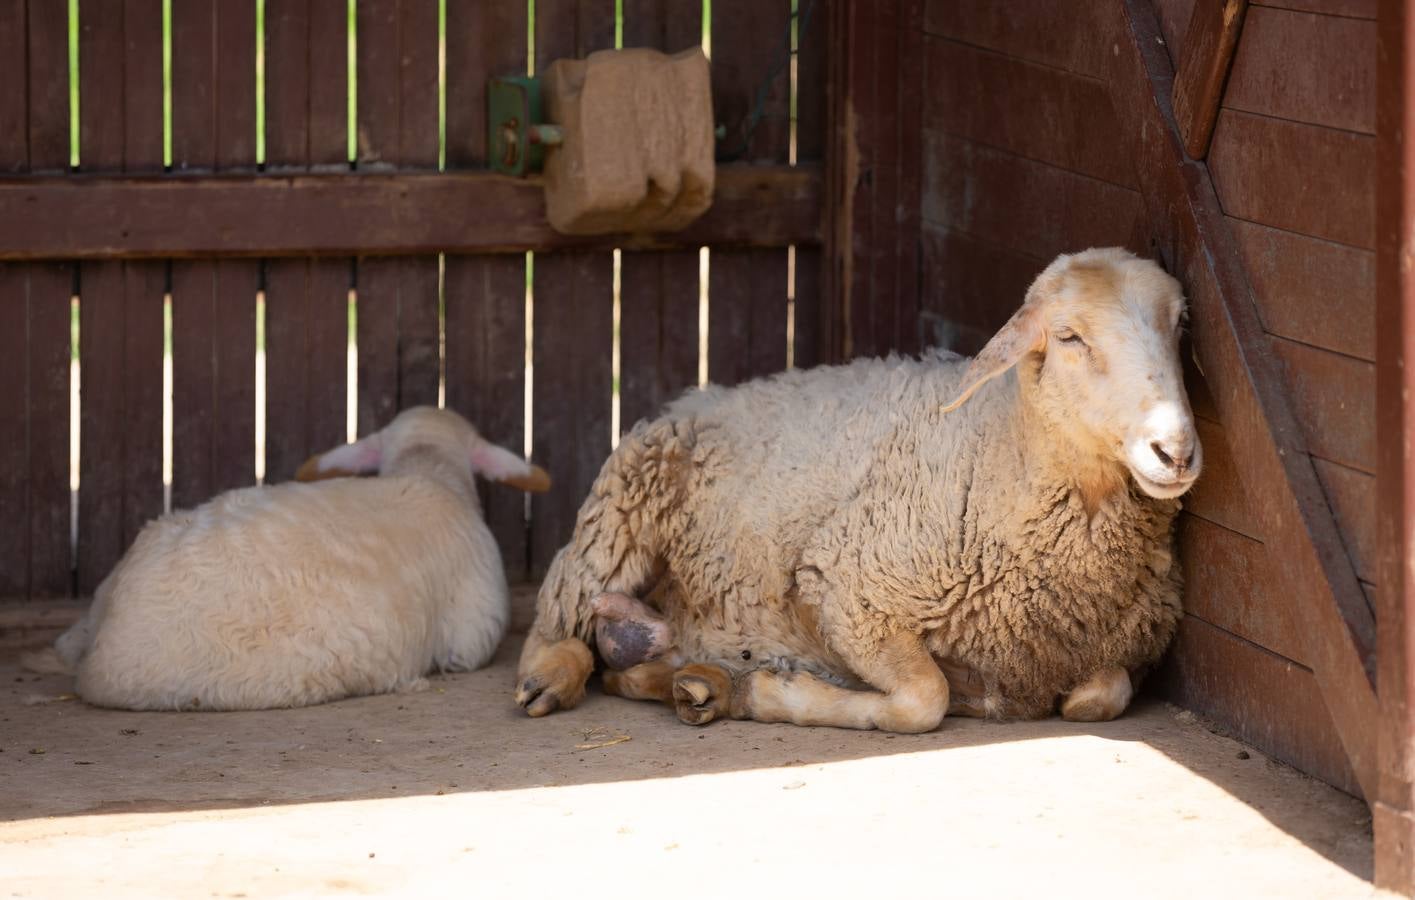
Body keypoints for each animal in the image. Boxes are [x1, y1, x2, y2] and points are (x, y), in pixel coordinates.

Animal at [520, 246, 1205, 730]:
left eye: (1178, 326)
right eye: (1069, 337)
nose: (1174, 450)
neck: (998, 456)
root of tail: (696, 394)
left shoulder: (1110, 654)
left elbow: (1100, 695)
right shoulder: (848, 587)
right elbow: (923, 700)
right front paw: (776, 693)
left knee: (633, 660)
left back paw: (695, 683)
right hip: (621, 506)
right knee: (558, 612)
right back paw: (552, 679)